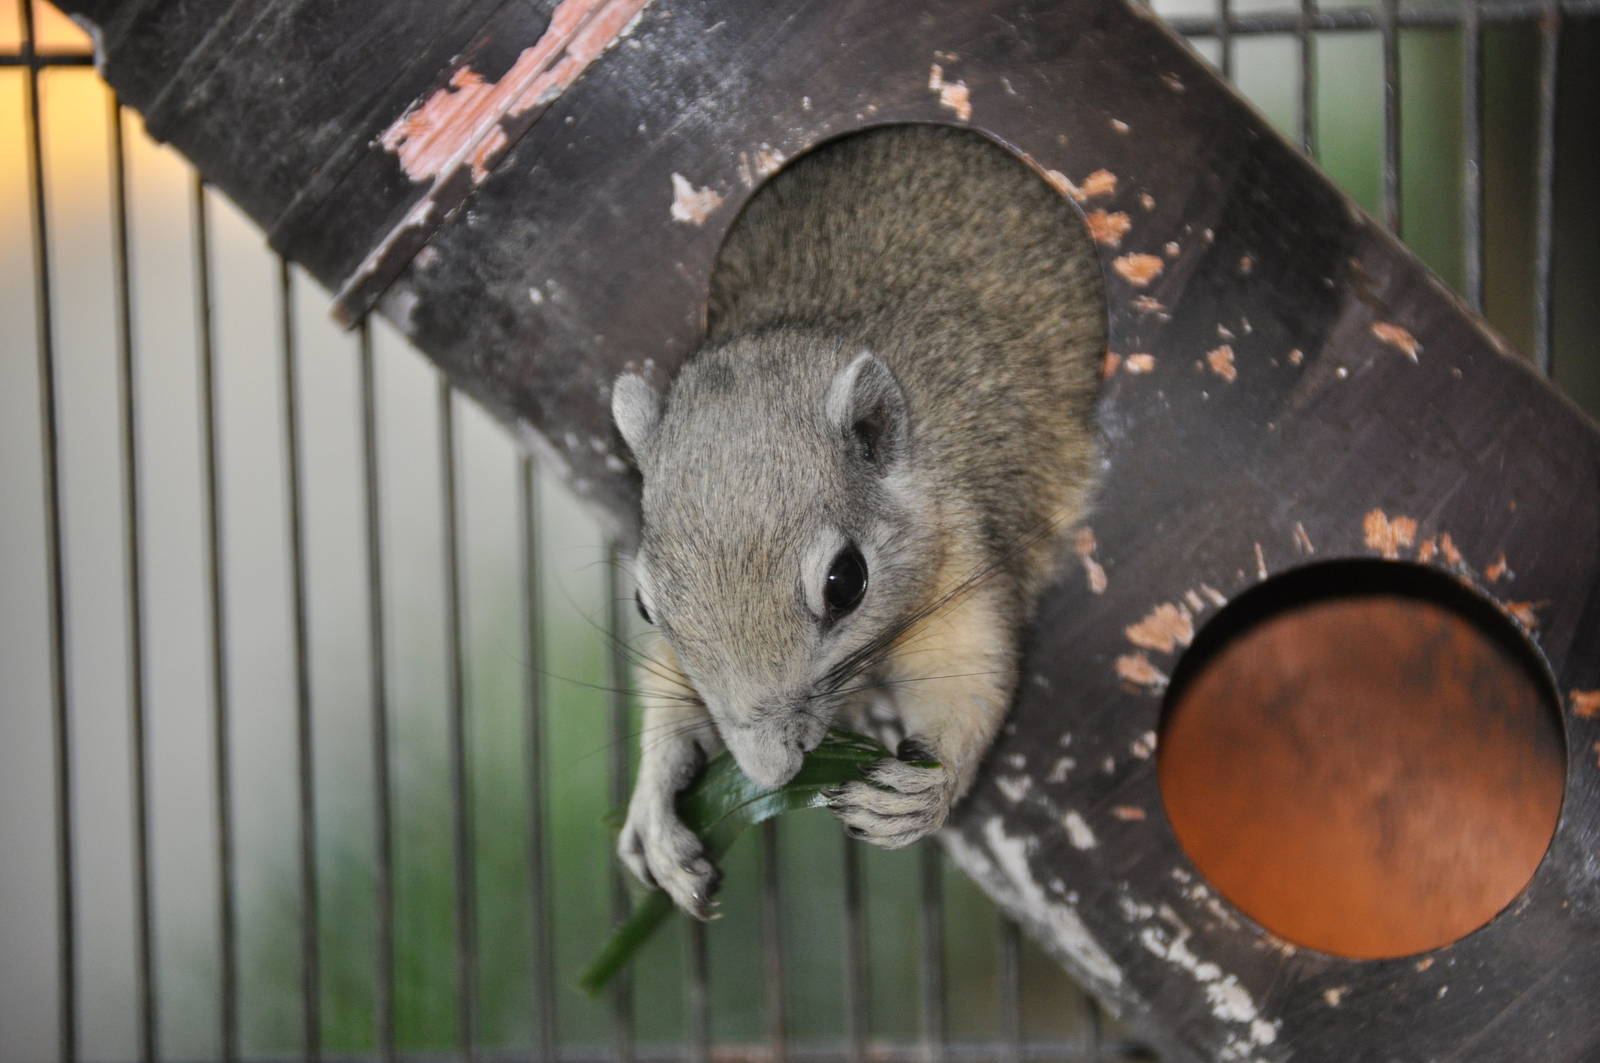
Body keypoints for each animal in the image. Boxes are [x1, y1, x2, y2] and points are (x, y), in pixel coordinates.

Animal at [610, 124, 1104, 918]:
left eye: (847, 582)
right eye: (643, 603)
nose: (771, 772)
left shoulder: (968, 553)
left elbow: (973, 678)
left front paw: (924, 793)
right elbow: (665, 682)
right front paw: (654, 807)